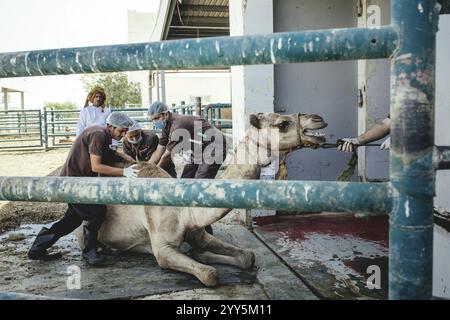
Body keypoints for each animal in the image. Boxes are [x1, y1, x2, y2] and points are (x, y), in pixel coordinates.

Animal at [74, 112, 326, 284]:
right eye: (282, 124)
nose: (318, 119)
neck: (183, 211)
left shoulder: (198, 233)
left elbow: (248, 256)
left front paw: (200, 253)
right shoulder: (162, 248)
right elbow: (210, 274)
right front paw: (203, 261)